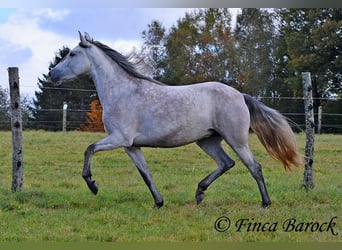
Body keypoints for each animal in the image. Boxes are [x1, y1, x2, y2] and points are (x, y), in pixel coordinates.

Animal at [48, 32, 302, 209]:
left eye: (72, 54)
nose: (52, 74)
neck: (123, 92)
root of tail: (240, 95)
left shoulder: (119, 138)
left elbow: (89, 149)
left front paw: (93, 185)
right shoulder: (131, 146)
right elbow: (146, 174)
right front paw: (158, 203)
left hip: (236, 140)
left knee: (254, 167)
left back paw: (265, 203)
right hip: (208, 140)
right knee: (226, 163)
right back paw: (199, 193)